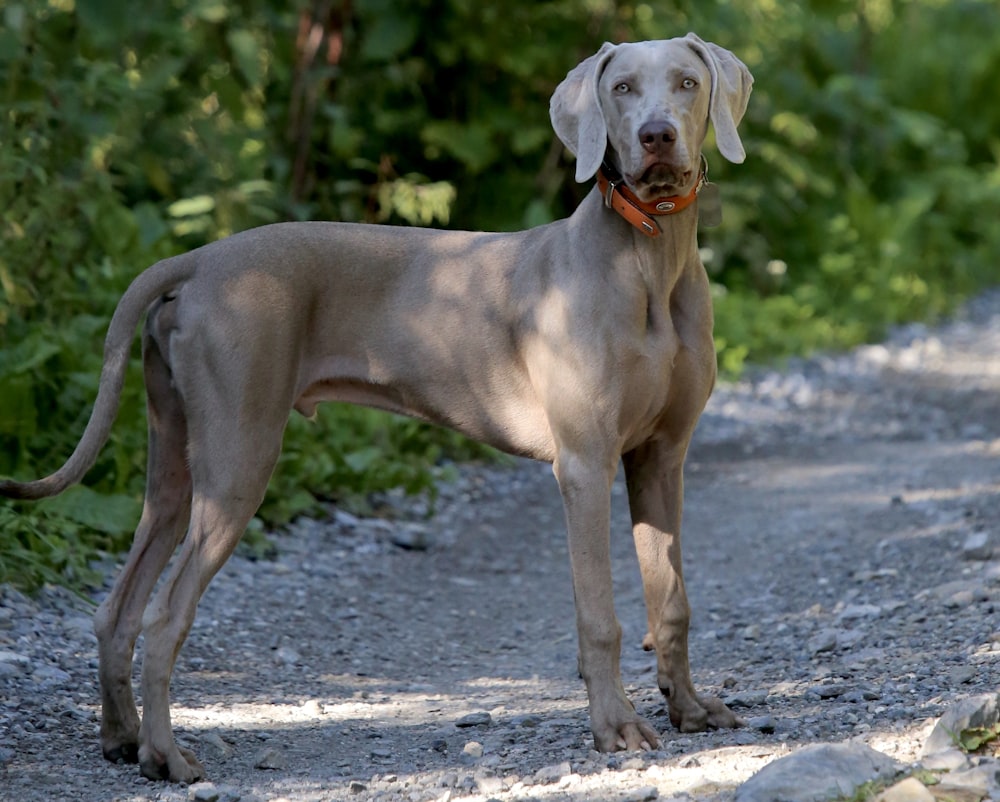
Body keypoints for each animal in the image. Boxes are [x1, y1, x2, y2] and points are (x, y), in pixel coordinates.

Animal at [0, 34, 752, 780]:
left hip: (176, 466)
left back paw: (122, 739)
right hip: (239, 459)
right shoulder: (585, 464)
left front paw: (689, 709)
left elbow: (672, 600)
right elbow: (600, 615)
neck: (650, 261)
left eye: (686, 83)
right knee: (164, 616)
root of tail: (198, 260)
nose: (657, 136)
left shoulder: (660, 457)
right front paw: (615, 727)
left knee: (118, 609)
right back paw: (167, 755)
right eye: (622, 88)